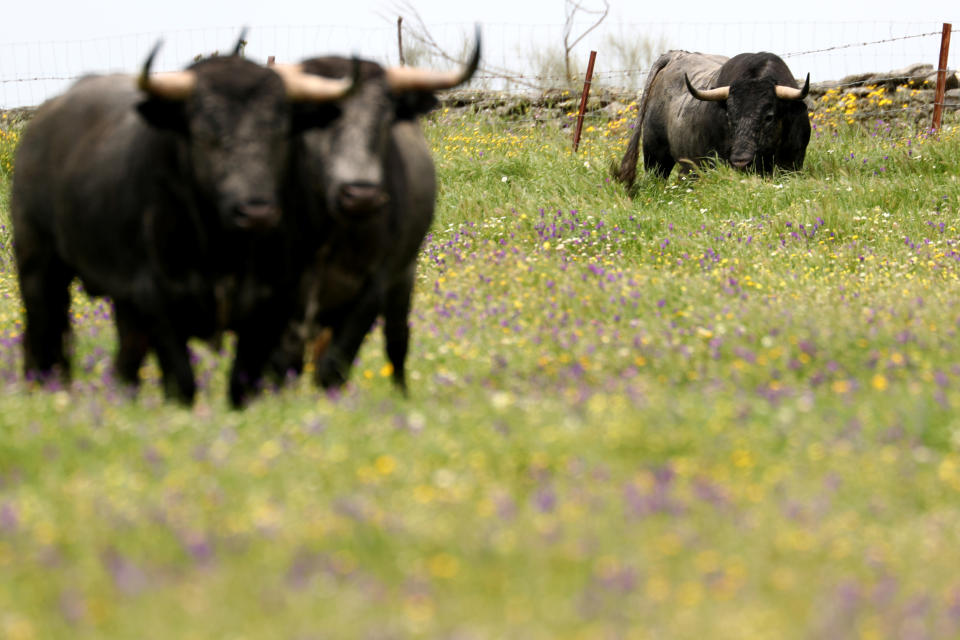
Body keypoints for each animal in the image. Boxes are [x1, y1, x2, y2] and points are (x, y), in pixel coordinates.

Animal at [10, 43, 356, 404]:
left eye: (281, 132)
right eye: (204, 133)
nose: (256, 211)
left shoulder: (271, 302)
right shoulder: (156, 297)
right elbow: (182, 380)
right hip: (39, 267)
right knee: (44, 333)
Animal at [266, 32, 480, 392]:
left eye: (384, 119)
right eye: (318, 120)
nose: (361, 195)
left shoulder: (375, 284)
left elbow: (336, 361)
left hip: (403, 277)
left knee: (396, 341)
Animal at [616, 50, 808, 185]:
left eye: (769, 117)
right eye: (729, 116)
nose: (741, 161)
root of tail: (676, 54)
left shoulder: (792, 163)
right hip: (655, 155)